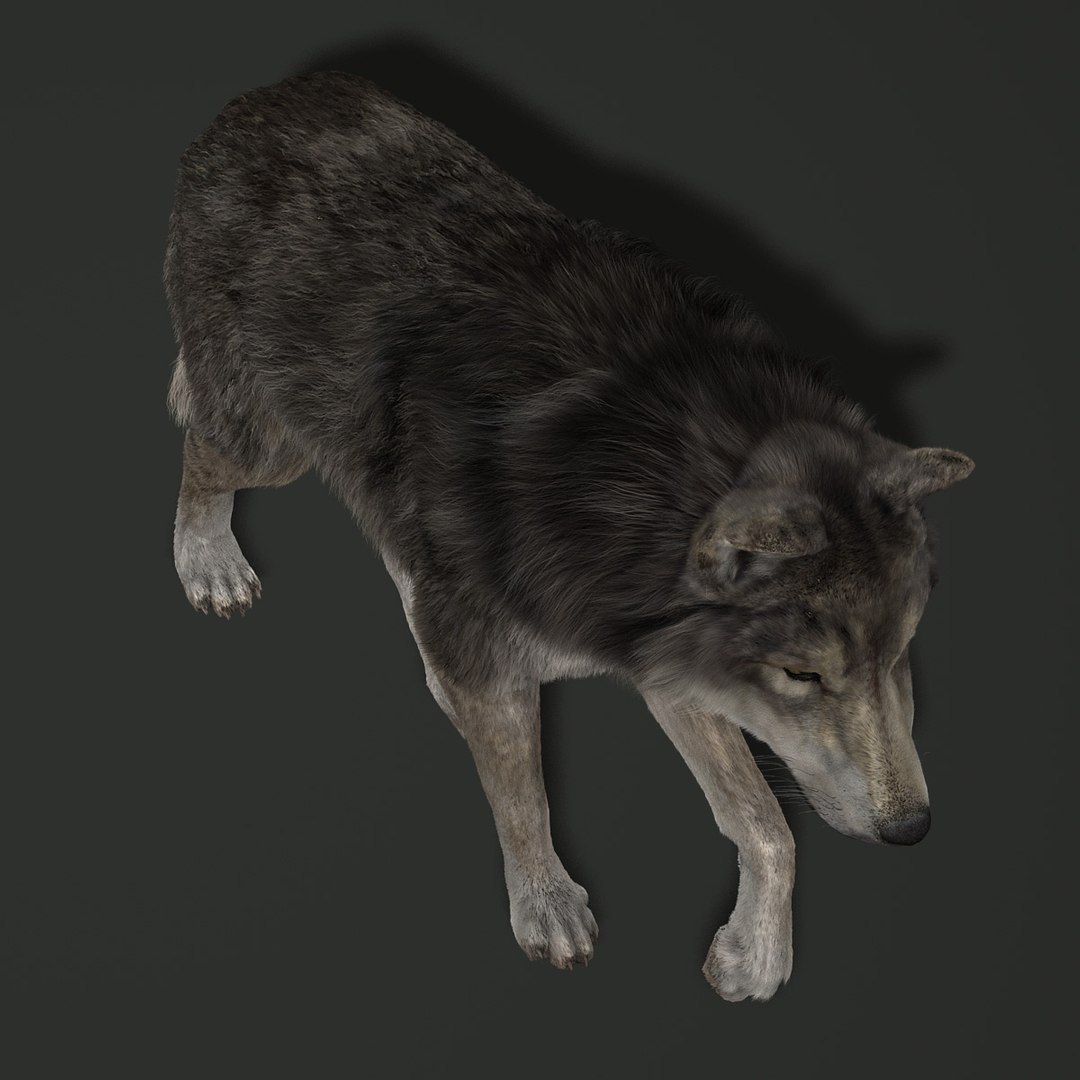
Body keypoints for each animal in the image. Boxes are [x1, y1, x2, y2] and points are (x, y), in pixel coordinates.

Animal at [164, 72, 973, 1001]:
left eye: (900, 654)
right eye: (802, 676)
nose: (912, 830)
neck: (619, 480)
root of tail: (269, 94)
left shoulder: (660, 660)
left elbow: (768, 826)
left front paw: (755, 955)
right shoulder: (521, 666)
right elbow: (524, 795)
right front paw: (547, 905)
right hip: (273, 448)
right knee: (199, 448)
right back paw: (208, 562)